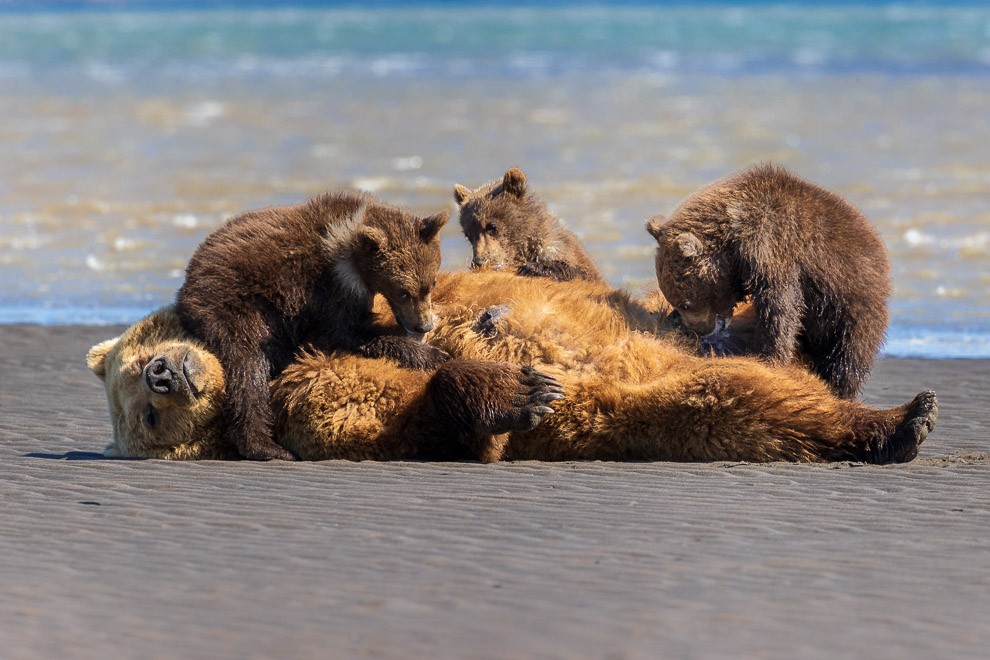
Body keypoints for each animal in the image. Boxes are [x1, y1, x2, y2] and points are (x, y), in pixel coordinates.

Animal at [177, 188, 450, 462]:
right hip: (236, 303)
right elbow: (349, 332)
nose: (423, 325)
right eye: (403, 292)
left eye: (431, 284)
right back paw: (267, 446)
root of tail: (189, 278)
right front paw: (434, 354)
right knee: (247, 367)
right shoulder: (328, 287)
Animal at [652, 163, 892, 398]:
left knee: (848, 354)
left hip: (852, 305)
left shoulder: (773, 246)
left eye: (686, 303)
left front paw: (769, 358)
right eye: (677, 302)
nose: (697, 330)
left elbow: (781, 308)